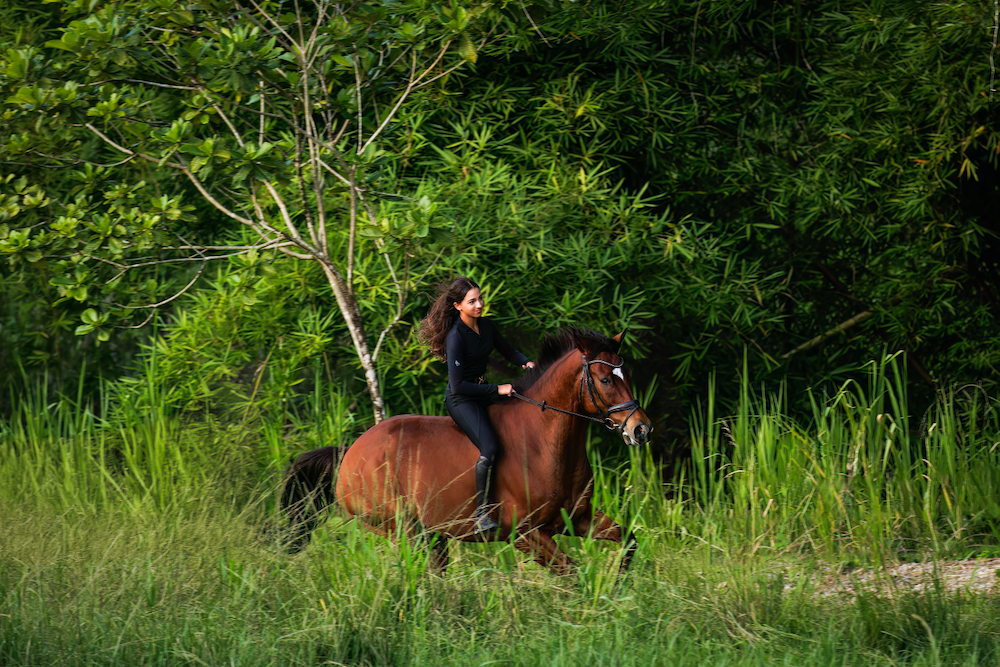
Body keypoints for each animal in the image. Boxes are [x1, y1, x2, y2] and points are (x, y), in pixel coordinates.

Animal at [280, 328, 653, 575]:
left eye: (627, 372)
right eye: (605, 379)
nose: (641, 430)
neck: (546, 443)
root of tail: (350, 453)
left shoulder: (577, 517)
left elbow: (629, 541)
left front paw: (617, 589)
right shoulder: (525, 534)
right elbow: (572, 572)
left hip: (431, 536)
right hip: (401, 530)